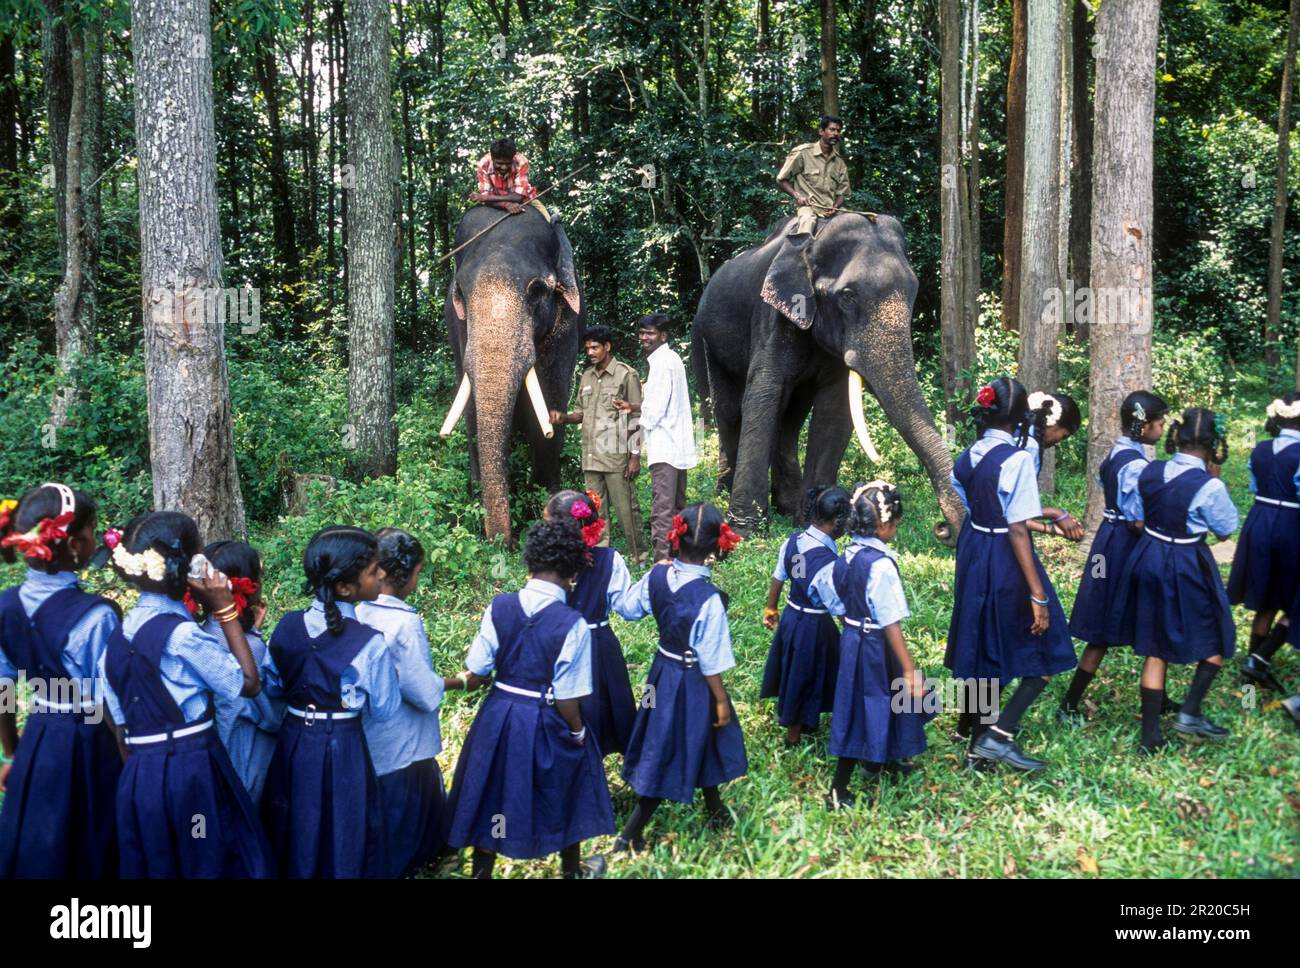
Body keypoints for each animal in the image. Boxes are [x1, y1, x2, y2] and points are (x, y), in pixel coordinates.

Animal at [439, 203, 582, 543]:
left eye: (538, 290)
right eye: (460, 293)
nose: (504, 542)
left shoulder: (566, 324)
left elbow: (551, 400)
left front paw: (545, 503)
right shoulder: (458, 328)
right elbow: (471, 411)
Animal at [691, 211, 967, 540]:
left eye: (913, 291)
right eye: (847, 297)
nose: (944, 530)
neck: (813, 239)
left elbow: (834, 409)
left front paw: (813, 522)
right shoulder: (773, 316)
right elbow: (763, 396)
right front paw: (746, 533)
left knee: (790, 419)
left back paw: (786, 505)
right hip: (703, 337)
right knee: (727, 411)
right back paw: (723, 494)